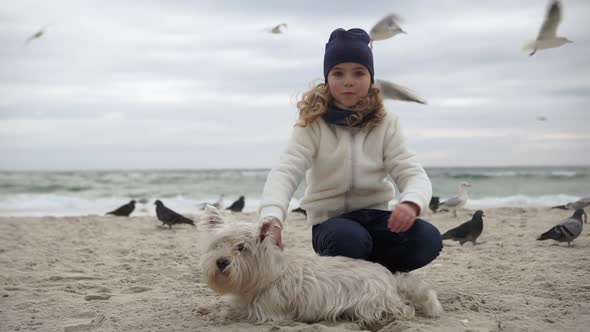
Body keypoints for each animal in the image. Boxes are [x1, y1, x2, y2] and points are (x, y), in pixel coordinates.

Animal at [200, 209, 444, 328]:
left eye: (241, 247)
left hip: (373, 302)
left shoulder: (265, 312)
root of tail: (389, 276)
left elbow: (233, 311)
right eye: (217, 245)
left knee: (404, 309)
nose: (221, 262)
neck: (265, 274)